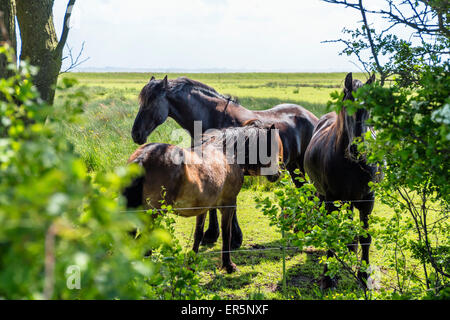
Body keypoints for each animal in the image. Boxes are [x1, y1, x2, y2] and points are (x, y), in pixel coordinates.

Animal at [123, 122, 282, 272]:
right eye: (271, 148)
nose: (278, 174)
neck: (226, 152)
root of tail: (142, 158)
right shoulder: (228, 204)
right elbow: (226, 233)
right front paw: (228, 265)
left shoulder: (203, 207)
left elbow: (198, 234)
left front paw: (192, 265)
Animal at [130, 76, 318, 249]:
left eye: (151, 103)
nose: (136, 134)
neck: (213, 119)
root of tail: (311, 117)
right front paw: (212, 235)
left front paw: (234, 238)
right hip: (293, 167)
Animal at [306, 73, 380, 290]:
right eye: (347, 106)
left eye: (368, 108)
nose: (358, 149)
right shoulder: (332, 199)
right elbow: (331, 233)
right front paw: (328, 277)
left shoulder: (367, 200)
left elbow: (365, 237)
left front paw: (364, 275)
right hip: (325, 196)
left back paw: (350, 246)